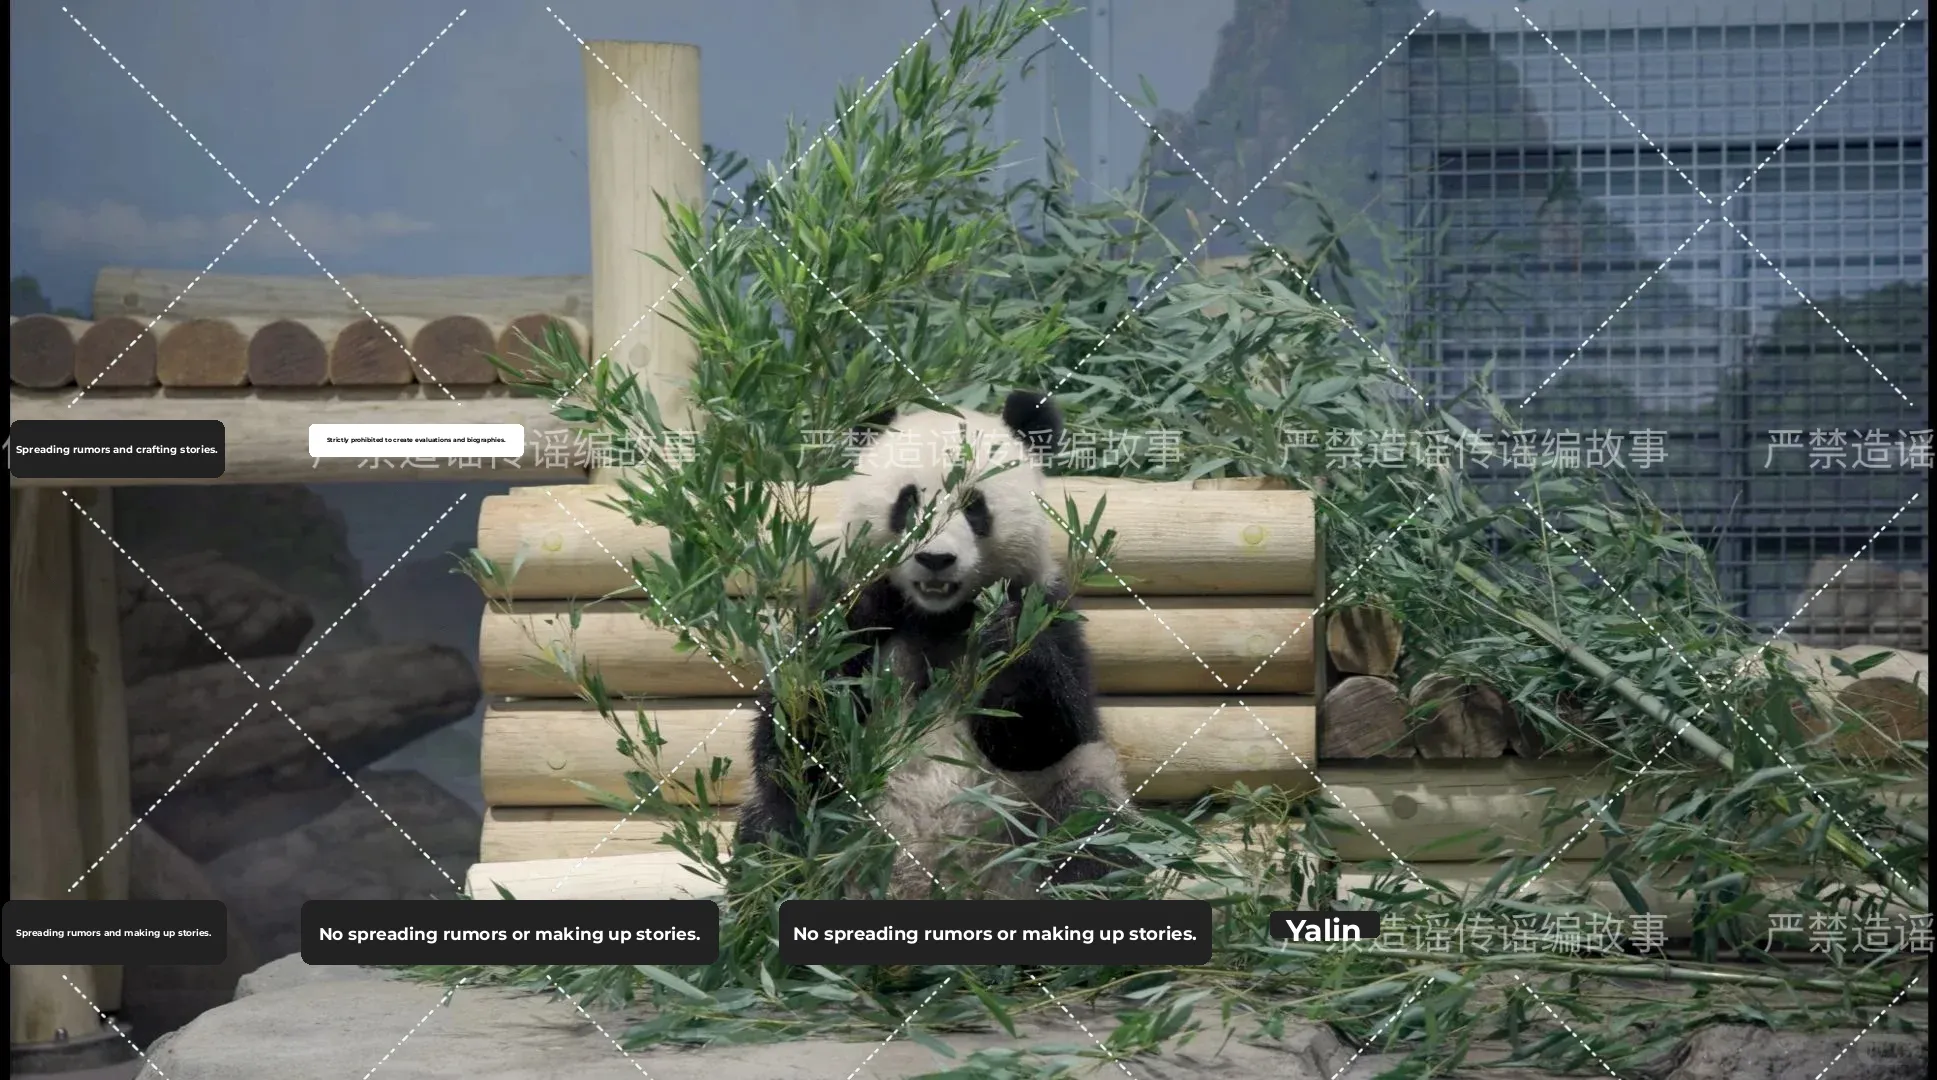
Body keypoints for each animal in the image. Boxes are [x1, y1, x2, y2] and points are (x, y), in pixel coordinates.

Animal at [734, 390, 1130, 899]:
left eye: (974, 506)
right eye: (908, 501)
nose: (936, 559)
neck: (939, 617)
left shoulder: (1048, 607)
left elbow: (1047, 731)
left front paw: (1002, 636)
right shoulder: (831, 616)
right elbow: (800, 732)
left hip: (1042, 813)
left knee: (1091, 831)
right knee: (777, 831)